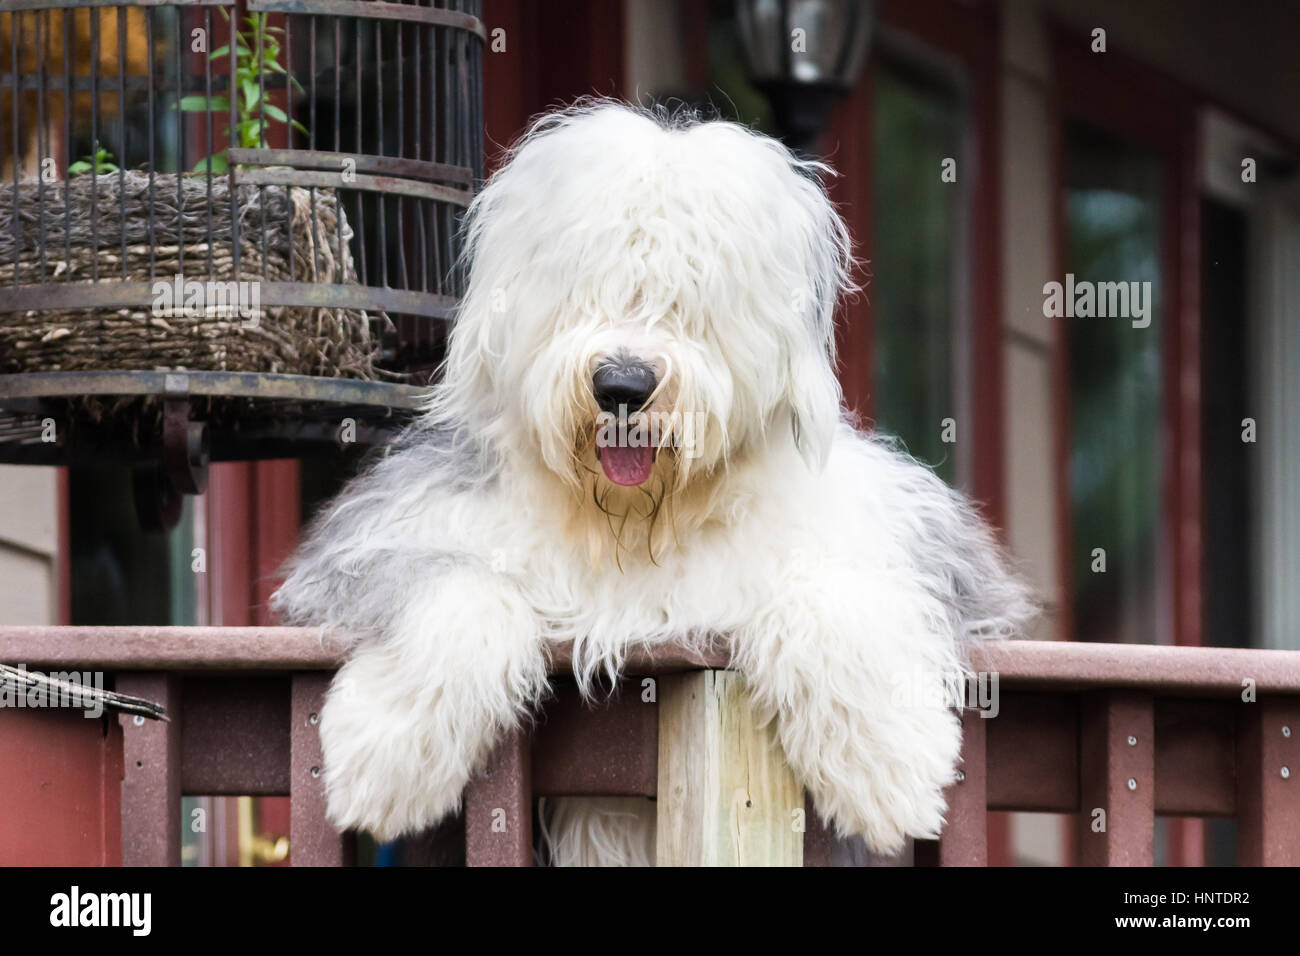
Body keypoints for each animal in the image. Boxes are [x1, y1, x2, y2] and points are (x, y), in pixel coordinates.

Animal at [274, 100, 1034, 863]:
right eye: (584, 289)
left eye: (691, 299)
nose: (622, 384)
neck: (632, 523)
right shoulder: (374, 542)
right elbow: (458, 589)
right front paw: (387, 759)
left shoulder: (913, 542)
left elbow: (833, 592)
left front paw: (889, 766)